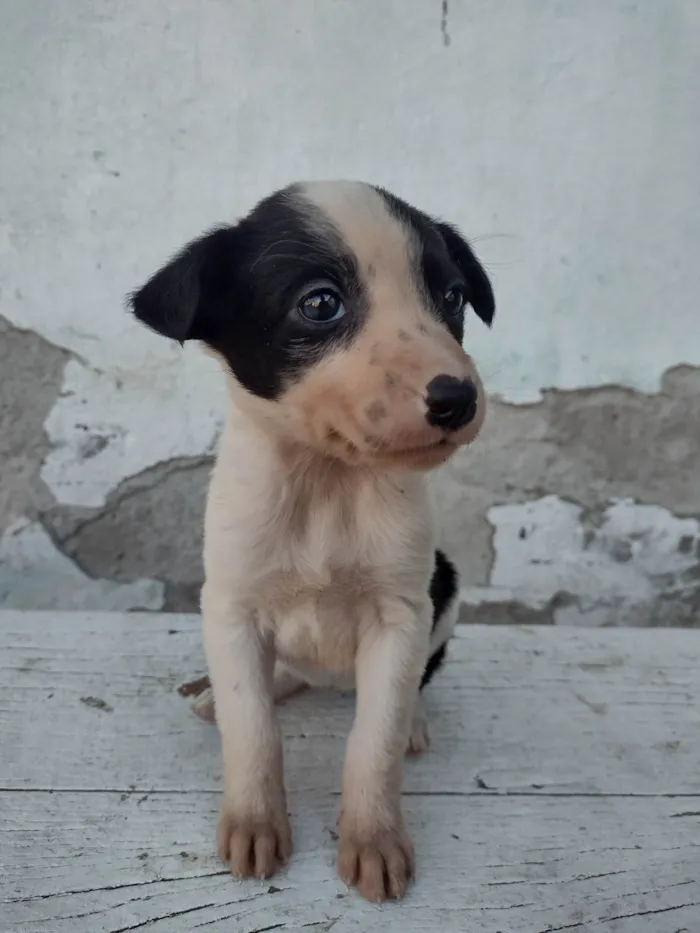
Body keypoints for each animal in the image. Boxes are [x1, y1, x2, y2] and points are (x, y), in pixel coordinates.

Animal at [130, 178, 492, 900]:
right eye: (320, 303)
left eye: (452, 297)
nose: (458, 398)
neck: (328, 483)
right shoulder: (231, 608)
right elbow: (252, 730)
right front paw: (254, 819)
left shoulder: (400, 615)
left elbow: (373, 744)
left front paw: (374, 837)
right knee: (280, 679)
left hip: (445, 587)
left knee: (406, 686)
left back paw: (413, 719)